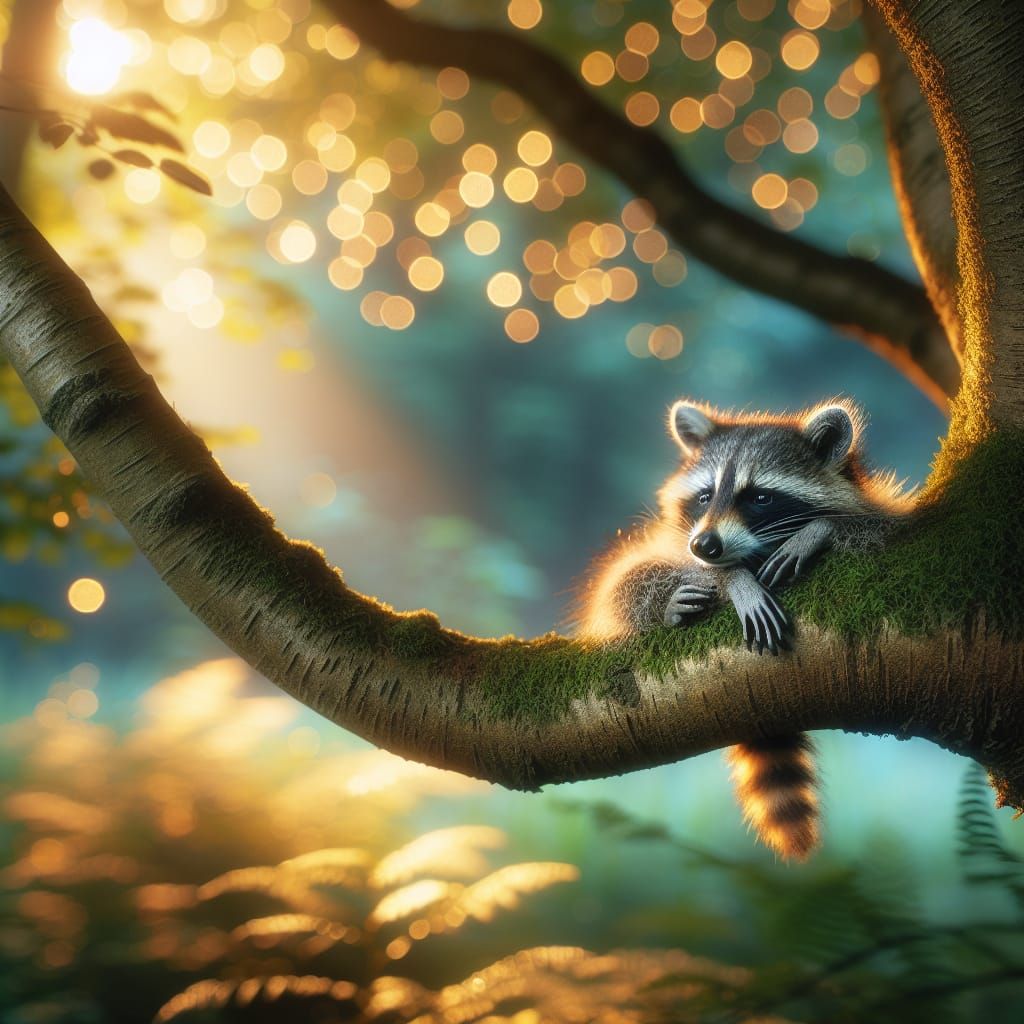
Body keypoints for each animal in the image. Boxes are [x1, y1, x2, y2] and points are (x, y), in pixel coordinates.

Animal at [577, 398, 913, 860]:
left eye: (760, 497)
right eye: (705, 496)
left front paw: (817, 531)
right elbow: (620, 587)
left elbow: (881, 531)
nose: (705, 546)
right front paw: (732, 580)